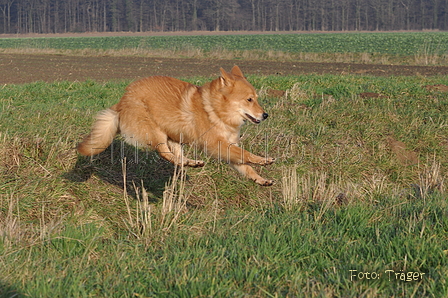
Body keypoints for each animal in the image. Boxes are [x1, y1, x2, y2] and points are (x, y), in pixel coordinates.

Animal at [77, 66, 274, 185]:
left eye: (256, 98)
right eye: (249, 99)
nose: (265, 115)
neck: (215, 109)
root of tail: (121, 102)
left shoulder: (227, 148)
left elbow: (245, 166)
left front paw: (260, 179)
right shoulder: (217, 145)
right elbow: (245, 154)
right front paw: (263, 160)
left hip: (174, 137)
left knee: (176, 157)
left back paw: (191, 162)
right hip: (156, 132)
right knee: (164, 153)